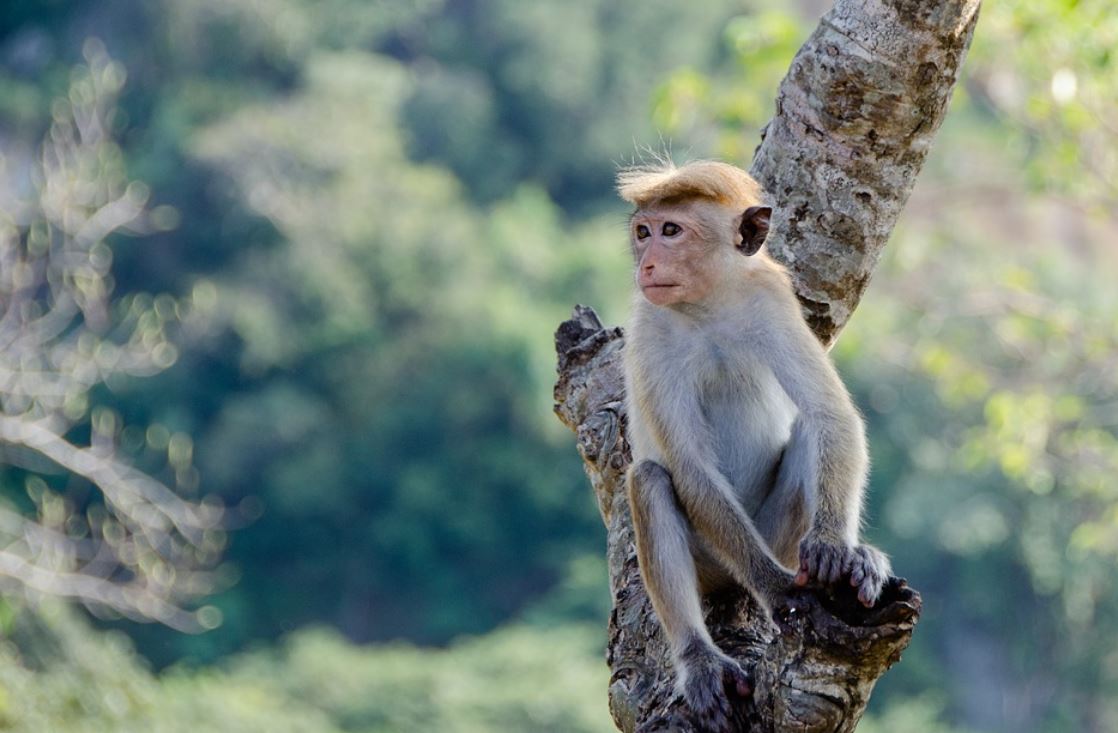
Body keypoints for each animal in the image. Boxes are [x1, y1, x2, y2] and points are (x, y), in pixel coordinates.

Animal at [619, 160, 890, 731]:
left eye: (670, 230)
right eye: (643, 232)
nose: (648, 263)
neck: (707, 306)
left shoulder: (771, 300)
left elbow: (829, 414)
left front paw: (836, 548)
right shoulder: (651, 331)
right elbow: (691, 467)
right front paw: (777, 589)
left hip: (776, 533)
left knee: (810, 431)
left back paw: (855, 557)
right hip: (713, 558)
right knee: (650, 479)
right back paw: (700, 660)